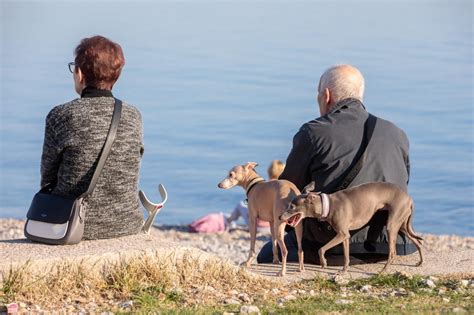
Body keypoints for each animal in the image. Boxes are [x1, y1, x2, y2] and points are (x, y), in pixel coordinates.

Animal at [278, 183, 422, 274]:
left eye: (292, 206)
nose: (279, 216)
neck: (328, 205)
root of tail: (409, 199)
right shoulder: (345, 236)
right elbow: (346, 256)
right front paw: (344, 270)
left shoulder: (341, 234)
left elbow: (321, 249)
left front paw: (324, 263)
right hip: (402, 225)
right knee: (418, 241)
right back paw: (420, 262)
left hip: (392, 225)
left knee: (392, 252)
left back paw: (383, 271)